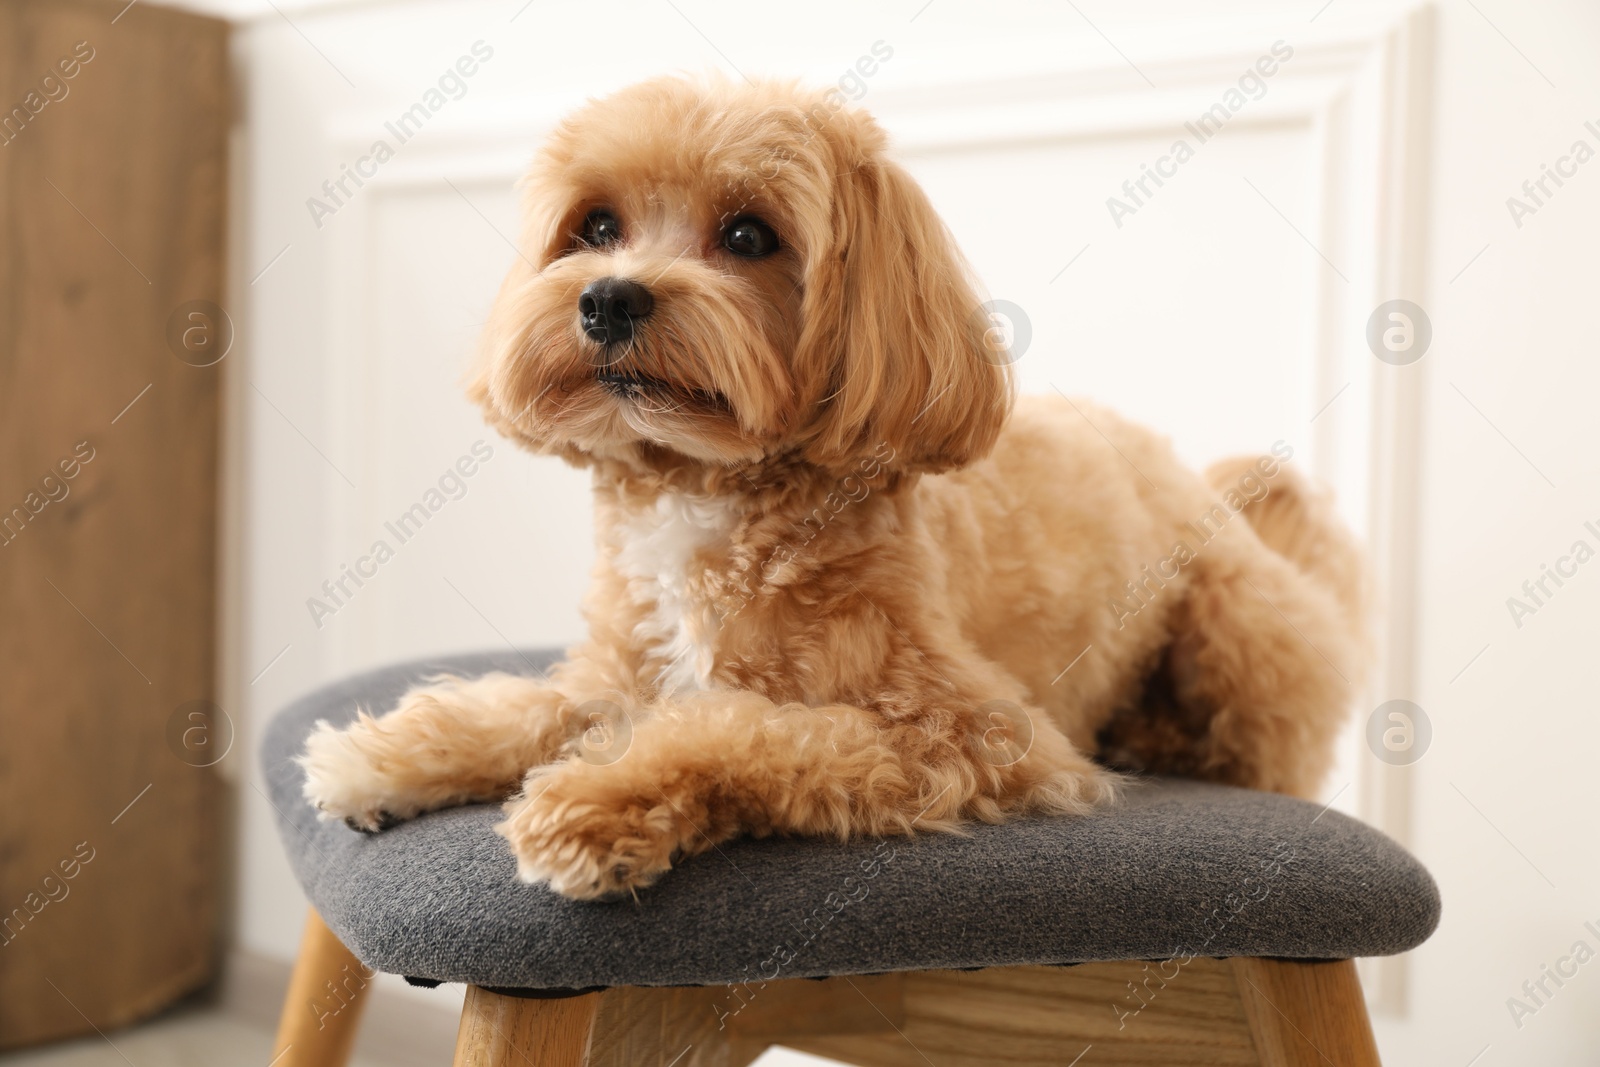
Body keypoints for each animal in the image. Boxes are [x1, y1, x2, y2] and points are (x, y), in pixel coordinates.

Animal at [297, 77, 1363, 902]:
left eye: (748, 234)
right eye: (595, 226)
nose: (608, 297)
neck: (707, 490)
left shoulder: (973, 732)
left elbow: (741, 731)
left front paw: (594, 801)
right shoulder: (620, 673)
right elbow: (529, 705)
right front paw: (391, 754)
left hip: (1241, 627)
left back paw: (1160, 738)